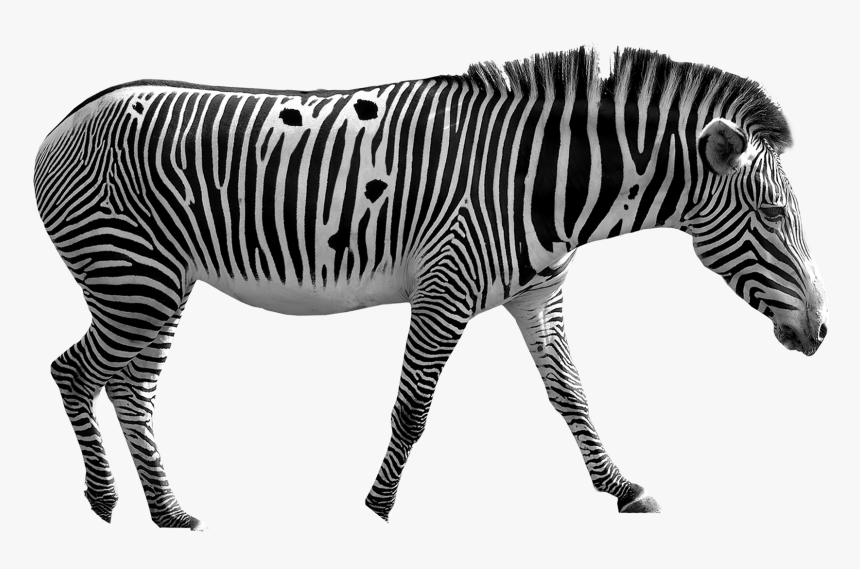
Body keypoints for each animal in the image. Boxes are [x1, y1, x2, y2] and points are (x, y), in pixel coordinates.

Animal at [35, 47, 827, 529]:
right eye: (773, 214)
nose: (821, 332)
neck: (542, 182)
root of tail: (64, 120)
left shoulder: (538, 294)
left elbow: (572, 393)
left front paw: (622, 486)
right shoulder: (443, 287)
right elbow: (413, 408)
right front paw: (377, 506)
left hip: (159, 281)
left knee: (130, 386)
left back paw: (167, 510)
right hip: (133, 275)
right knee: (74, 371)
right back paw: (105, 499)